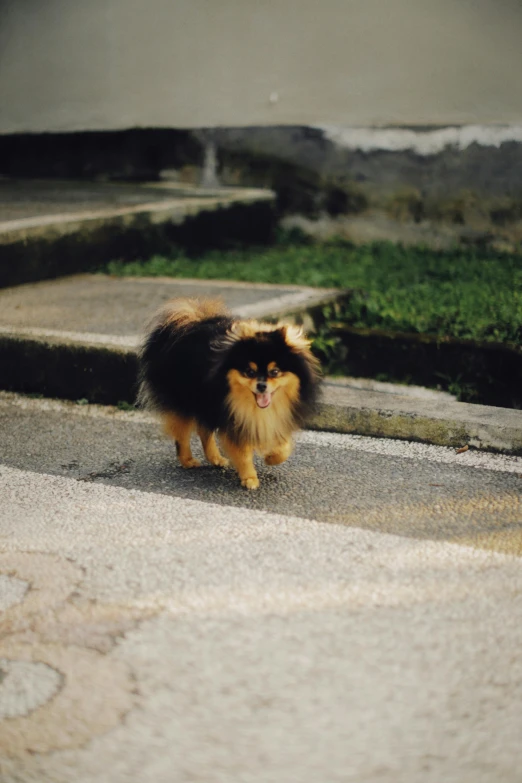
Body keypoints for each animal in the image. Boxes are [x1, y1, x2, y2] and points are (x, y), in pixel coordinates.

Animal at [136, 300, 318, 490]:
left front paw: (272, 458)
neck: (255, 407)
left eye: (274, 372)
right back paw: (187, 460)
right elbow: (242, 453)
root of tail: (185, 323)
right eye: (249, 372)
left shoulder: (276, 417)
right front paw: (249, 478)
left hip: (208, 403)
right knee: (182, 434)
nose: (261, 386)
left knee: (204, 430)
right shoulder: (233, 417)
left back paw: (215, 458)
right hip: (186, 400)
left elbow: (284, 445)